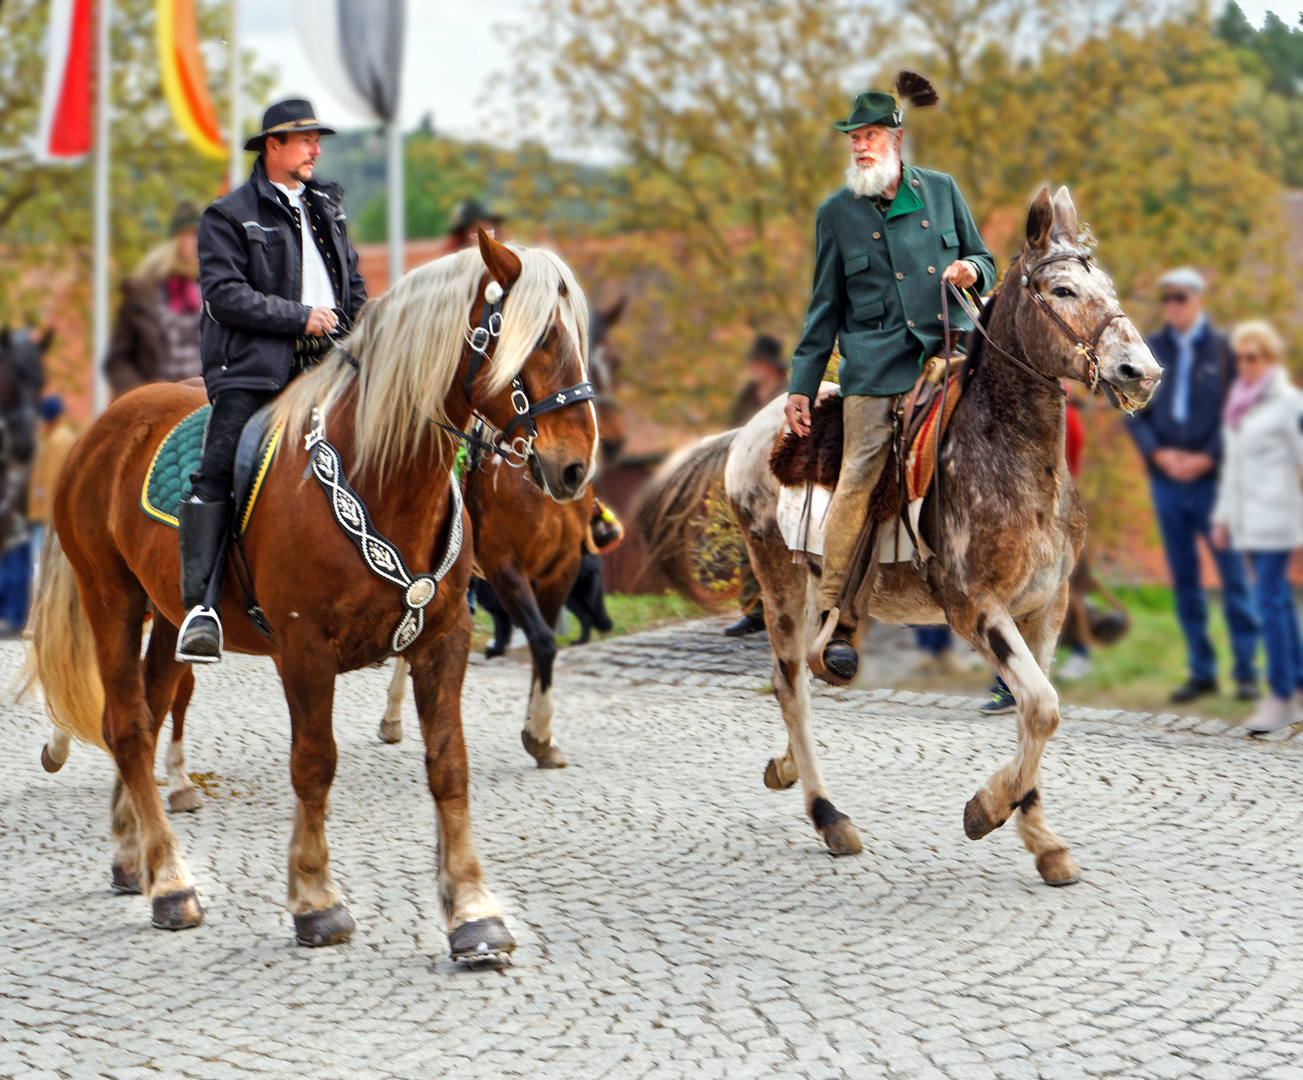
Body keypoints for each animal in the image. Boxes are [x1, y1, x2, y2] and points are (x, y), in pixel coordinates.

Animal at [26, 231, 596, 958]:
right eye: (539, 337)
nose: (575, 466)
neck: (379, 476)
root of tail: (104, 427)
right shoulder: (304, 649)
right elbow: (315, 764)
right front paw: (316, 898)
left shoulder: (444, 638)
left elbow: (449, 764)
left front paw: (473, 911)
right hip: (113, 601)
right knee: (126, 726)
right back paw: (173, 884)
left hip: (169, 618)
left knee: (145, 720)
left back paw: (137, 859)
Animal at [641, 190, 1162, 885]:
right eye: (1062, 289)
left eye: (1106, 286)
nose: (1141, 371)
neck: (1010, 455)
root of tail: (756, 427)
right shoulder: (975, 608)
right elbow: (1041, 706)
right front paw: (988, 810)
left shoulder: (1047, 609)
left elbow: (1038, 711)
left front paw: (1040, 837)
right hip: (780, 583)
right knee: (791, 685)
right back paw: (827, 814)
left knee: (803, 671)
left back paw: (787, 766)